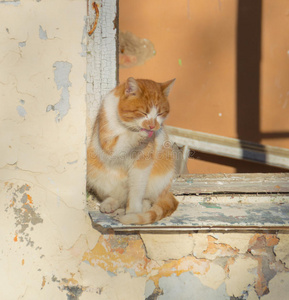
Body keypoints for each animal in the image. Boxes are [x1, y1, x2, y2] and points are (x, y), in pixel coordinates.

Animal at [86, 78, 178, 224]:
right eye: (143, 113)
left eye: (160, 114)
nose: (152, 126)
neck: (126, 126)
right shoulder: (108, 144)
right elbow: (123, 140)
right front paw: (140, 134)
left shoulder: (142, 163)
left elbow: (136, 190)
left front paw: (134, 211)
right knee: (116, 197)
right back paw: (110, 205)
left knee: (148, 199)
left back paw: (141, 207)